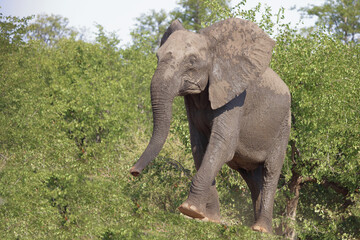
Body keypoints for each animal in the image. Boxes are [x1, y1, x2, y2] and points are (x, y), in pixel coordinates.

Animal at [131, 19, 292, 234]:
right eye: (157, 56)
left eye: (191, 61)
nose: (134, 172)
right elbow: (199, 147)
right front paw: (209, 218)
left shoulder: (235, 97)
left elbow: (222, 144)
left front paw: (189, 209)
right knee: (253, 178)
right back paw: (256, 226)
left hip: (283, 126)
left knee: (270, 172)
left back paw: (261, 229)